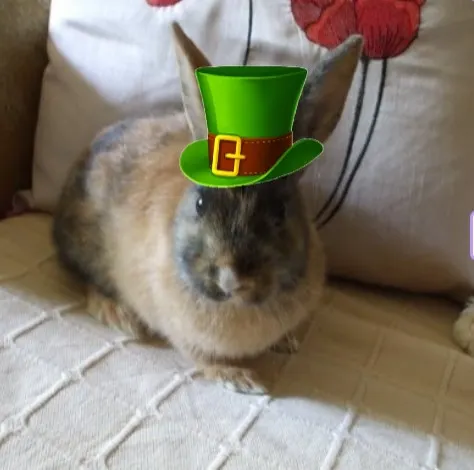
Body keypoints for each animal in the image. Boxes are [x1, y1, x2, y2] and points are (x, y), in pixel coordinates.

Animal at [51, 23, 363, 395]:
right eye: (201, 203)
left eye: (280, 212)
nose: (231, 277)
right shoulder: (184, 336)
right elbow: (201, 359)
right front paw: (241, 378)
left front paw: (285, 343)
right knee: (87, 282)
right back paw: (123, 318)